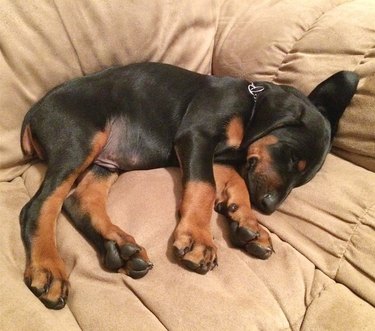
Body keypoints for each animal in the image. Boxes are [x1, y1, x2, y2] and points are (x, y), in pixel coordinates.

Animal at [19, 62, 360, 308]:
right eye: (290, 156)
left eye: (302, 179)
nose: (268, 206)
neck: (250, 104)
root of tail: (34, 110)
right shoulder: (197, 137)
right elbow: (204, 187)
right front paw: (198, 239)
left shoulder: (220, 155)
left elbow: (236, 180)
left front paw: (245, 222)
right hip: (81, 139)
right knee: (39, 206)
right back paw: (48, 269)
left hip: (107, 160)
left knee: (79, 199)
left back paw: (120, 248)